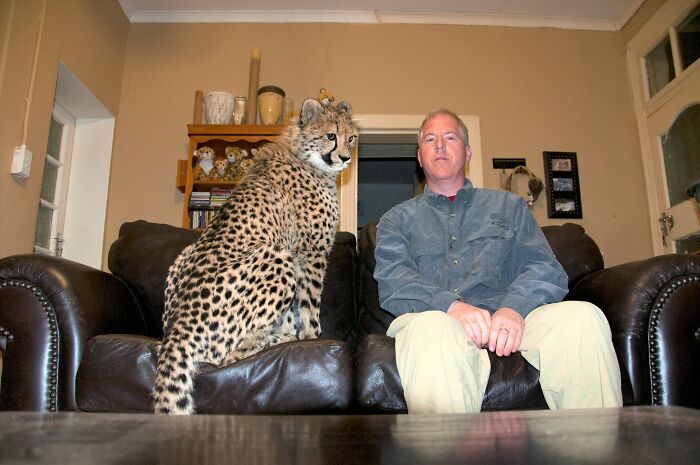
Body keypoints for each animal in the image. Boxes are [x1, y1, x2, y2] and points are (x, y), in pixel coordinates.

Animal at [153, 98, 358, 415]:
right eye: (331, 136)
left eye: (352, 138)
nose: (346, 158)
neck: (303, 154)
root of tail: (177, 327)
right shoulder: (309, 255)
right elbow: (308, 308)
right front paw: (311, 340)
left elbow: (293, 312)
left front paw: (295, 336)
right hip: (276, 259)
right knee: (227, 357)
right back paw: (272, 341)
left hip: (184, 256)